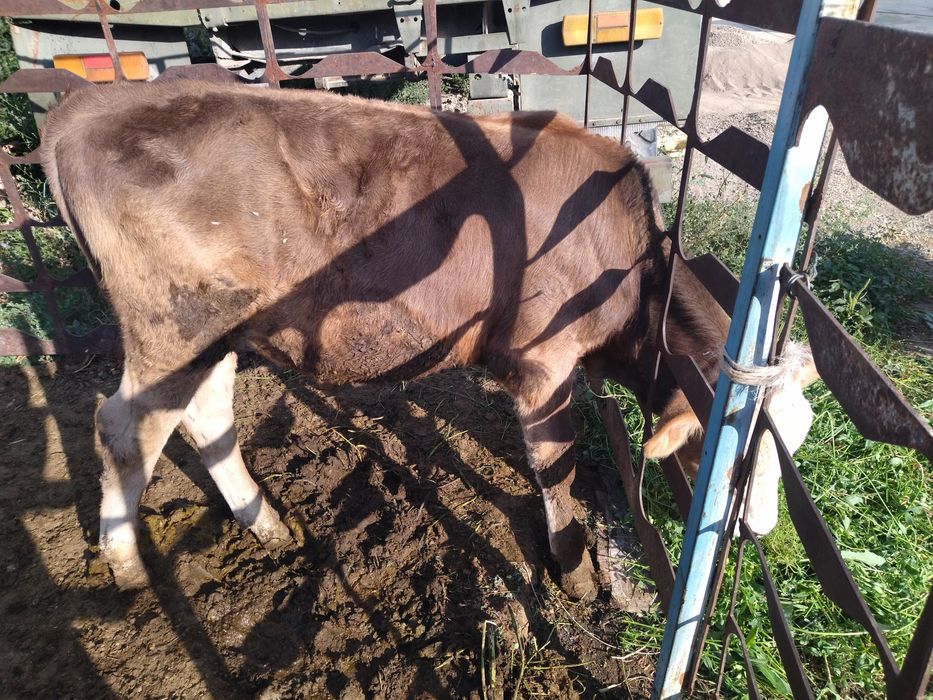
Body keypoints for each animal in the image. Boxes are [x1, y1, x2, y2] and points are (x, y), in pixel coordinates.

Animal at [40, 80, 817, 602]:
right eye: (736, 460)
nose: (761, 529)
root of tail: (89, 105)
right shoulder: (543, 362)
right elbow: (557, 467)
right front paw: (572, 572)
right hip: (173, 323)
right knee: (125, 427)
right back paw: (126, 566)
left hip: (223, 327)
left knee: (206, 414)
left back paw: (265, 525)